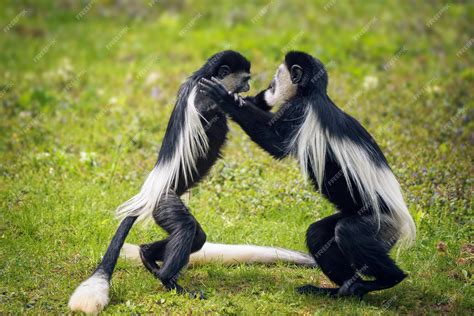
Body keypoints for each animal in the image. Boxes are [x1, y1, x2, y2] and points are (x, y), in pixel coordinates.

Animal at [69, 50, 314, 314]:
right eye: (245, 78)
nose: (249, 85)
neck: (203, 78)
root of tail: (148, 193)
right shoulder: (202, 98)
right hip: (165, 203)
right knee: (187, 229)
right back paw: (168, 279)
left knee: (197, 236)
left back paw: (147, 255)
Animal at [199, 50, 414, 298]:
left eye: (276, 76)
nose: (269, 86)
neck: (312, 94)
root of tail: (401, 220)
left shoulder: (299, 112)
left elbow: (277, 143)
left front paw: (224, 98)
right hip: (358, 219)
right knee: (318, 234)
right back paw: (342, 289)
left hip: (379, 225)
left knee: (348, 232)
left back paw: (388, 279)